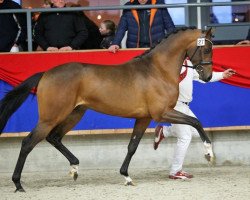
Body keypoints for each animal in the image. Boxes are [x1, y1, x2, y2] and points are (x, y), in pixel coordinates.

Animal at [0, 27, 215, 192]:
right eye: (206, 49)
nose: (207, 76)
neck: (157, 70)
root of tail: (46, 73)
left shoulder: (144, 118)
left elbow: (132, 146)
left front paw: (126, 177)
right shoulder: (161, 113)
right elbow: (196, 121)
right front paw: (209, 153)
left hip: (75, 113)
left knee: (54, 137)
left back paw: (75, 168)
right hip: (51, 117)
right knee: (28, 143)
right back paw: (18, 184)